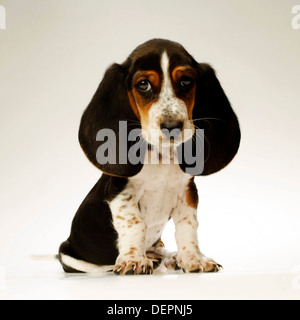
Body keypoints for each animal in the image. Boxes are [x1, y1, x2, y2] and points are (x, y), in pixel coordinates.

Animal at [58, 38, 241, 276]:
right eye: (143, 84)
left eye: (186, 81)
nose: (172, 126)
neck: (162, 156)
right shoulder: (121, 192)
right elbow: (135, 224)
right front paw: (133, 259)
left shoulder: (186, 192)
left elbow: (187, 227)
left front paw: (193, 258)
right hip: (69, 255)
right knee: (99, 267)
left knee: (161, 250)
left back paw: (169, 259)